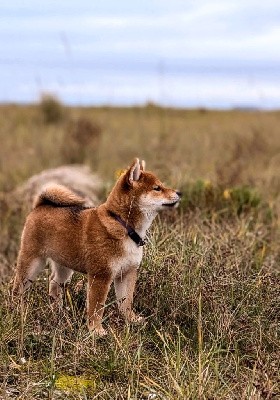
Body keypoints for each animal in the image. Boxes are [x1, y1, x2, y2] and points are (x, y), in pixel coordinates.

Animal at [12, 158, 182, 336]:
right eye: (157, 188)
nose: (179, 193)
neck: (124, 226)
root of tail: (40, 205)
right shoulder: (101, 276)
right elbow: (96, 307)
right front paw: (96, 330)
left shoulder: (127, 273)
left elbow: (126, 302)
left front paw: (131, 320)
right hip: (31, 263)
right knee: (18, 288)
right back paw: (18, 309)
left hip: (64, 266)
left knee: (53, 283)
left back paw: (58, 309)